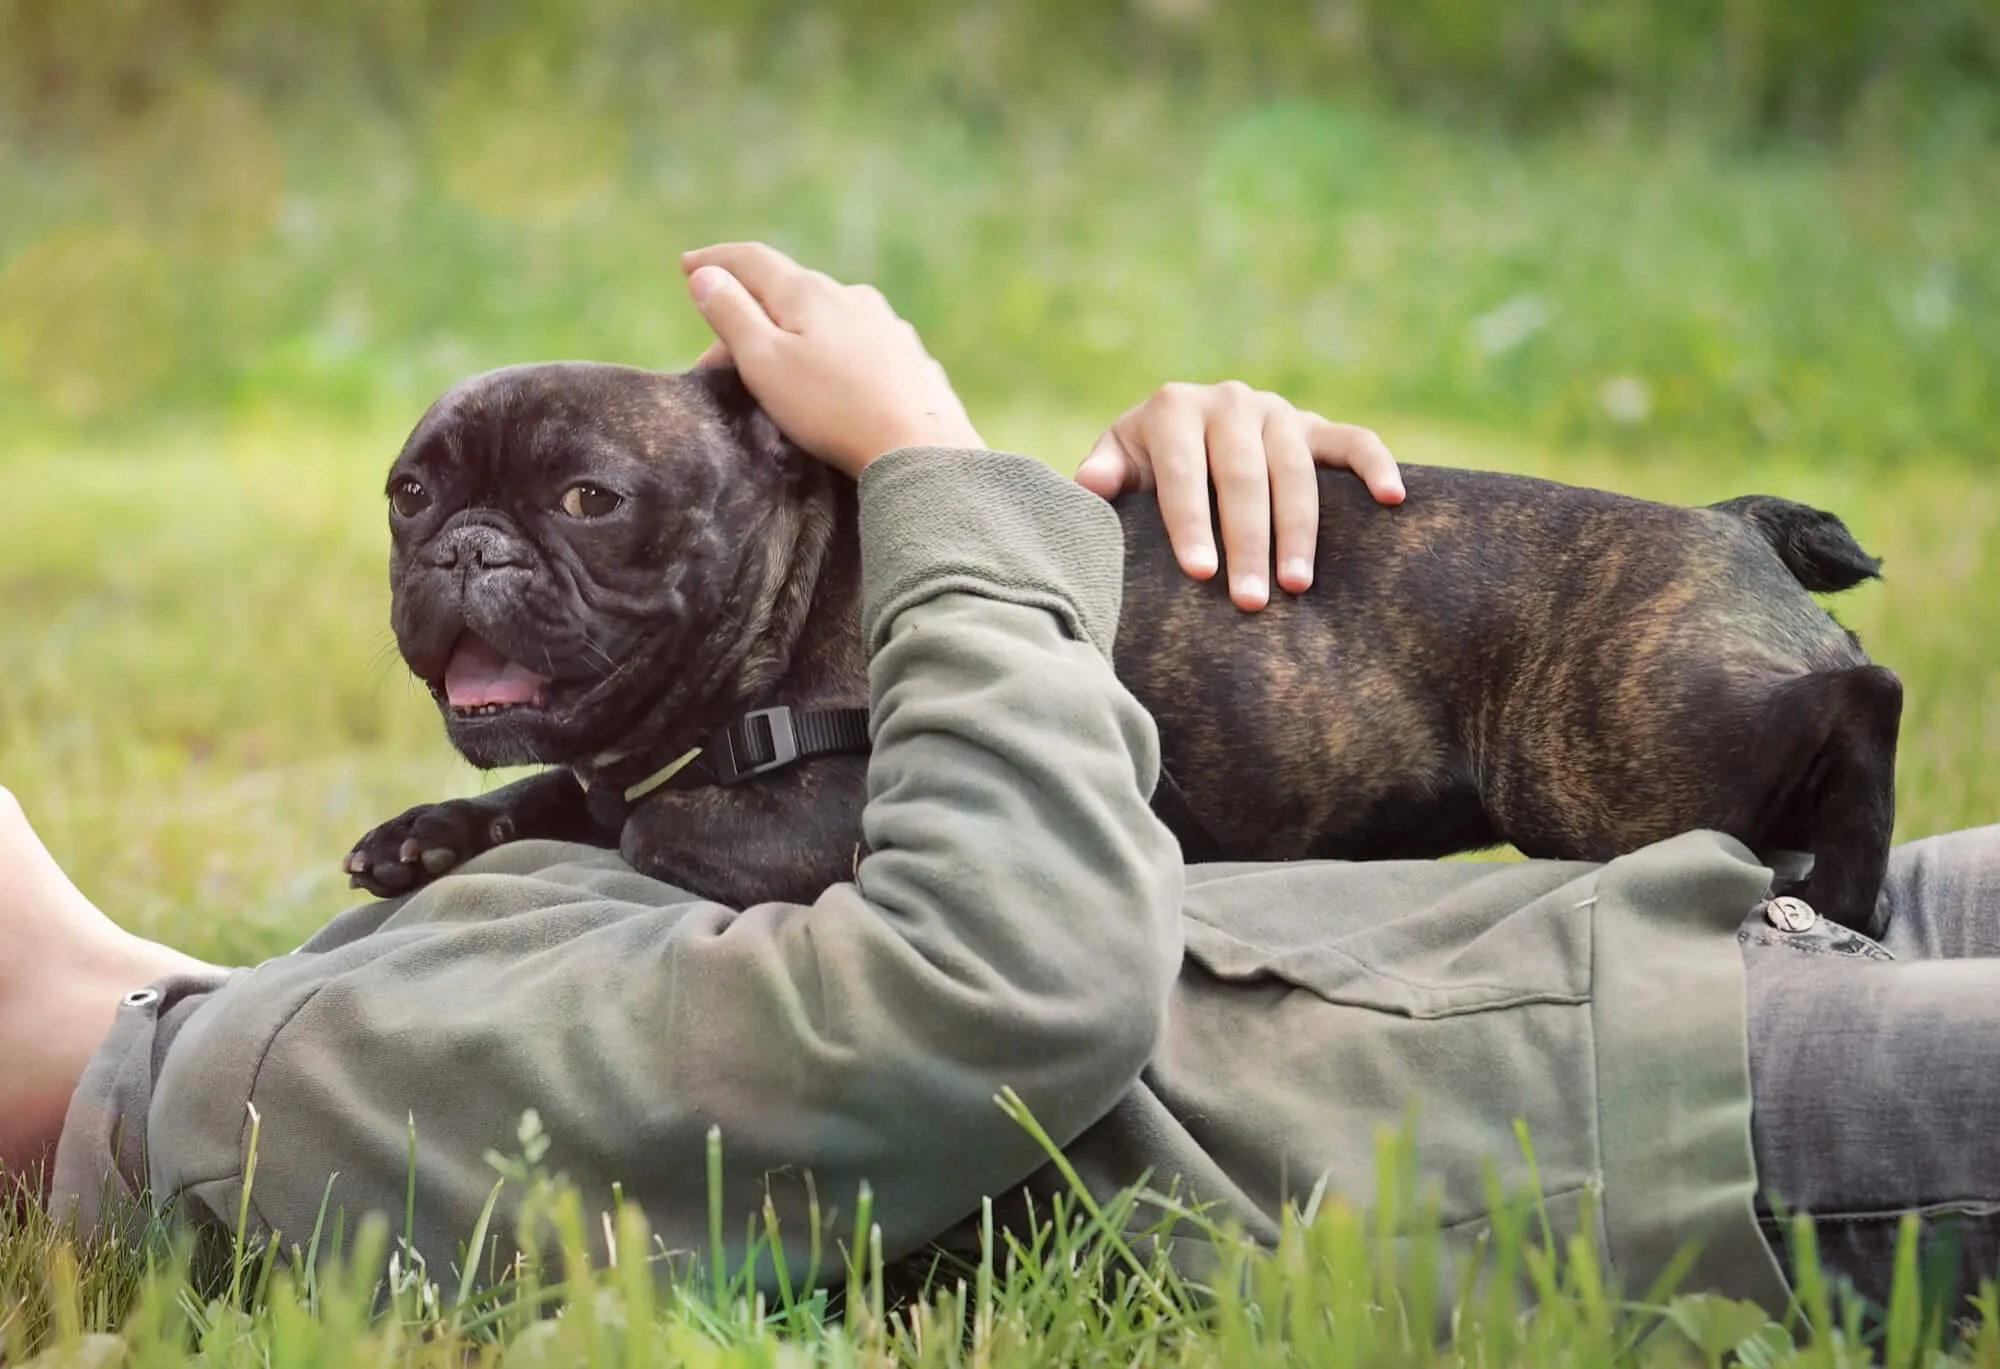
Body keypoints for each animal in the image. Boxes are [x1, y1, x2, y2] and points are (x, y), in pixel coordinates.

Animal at [348, 360, 1904, 940]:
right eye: (407, 492)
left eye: (585, 499)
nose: (462, 548)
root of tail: (1727, 528)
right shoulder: (606, 756)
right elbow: (557, 793)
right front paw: (429, 833)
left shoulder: (842, 802)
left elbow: (649, 829)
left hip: (1610, 756)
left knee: (1864, 693)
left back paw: (1844, 883)